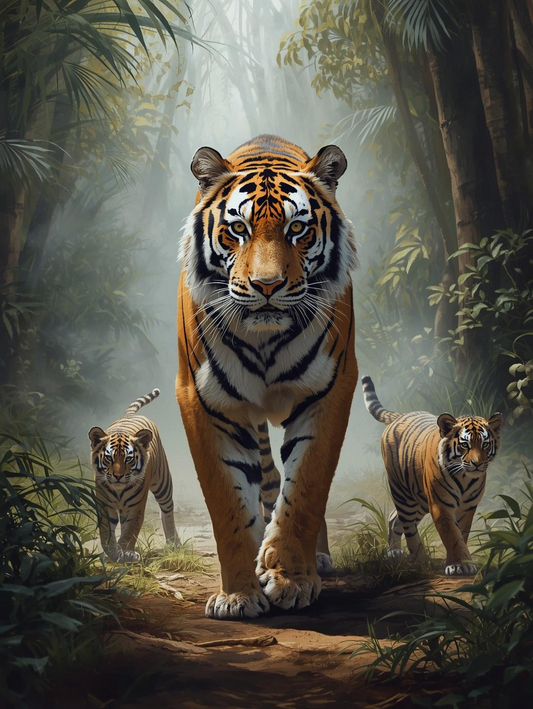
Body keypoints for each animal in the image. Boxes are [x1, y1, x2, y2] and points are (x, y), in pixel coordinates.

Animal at [89, 388, 179, 562]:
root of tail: (128, 415)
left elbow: (130, 531)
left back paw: (174, 543)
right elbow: (106, 534)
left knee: (167, 510)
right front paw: (114, 553)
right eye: (109, 458)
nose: (117, 476)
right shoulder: (104, 505)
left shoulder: (135, 507)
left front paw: (126, 553)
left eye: (128, 459)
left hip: (163, 483)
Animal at [176, 134, 358, 619]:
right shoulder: (204, 401)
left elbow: (308, 487)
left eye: (298, 229)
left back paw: (316, 560)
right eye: (237, 229)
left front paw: (291, 580)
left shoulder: (330, 390)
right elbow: (228, 505)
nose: (268, 285)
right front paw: (238, 595)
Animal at [362, 375, 503, 575]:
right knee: (408, 525)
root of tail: (401, 415)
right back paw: (419, 559)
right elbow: (452, 535)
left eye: (485, 444)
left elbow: (462, 533)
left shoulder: (467, 507)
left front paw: (461, 561)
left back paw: (395, 552)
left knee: (394, 518)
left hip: (419, 500)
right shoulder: (441, 505)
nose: (477, 464)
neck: (464, 477)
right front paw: (459, 565)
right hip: (403, 494)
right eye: (465, 445)